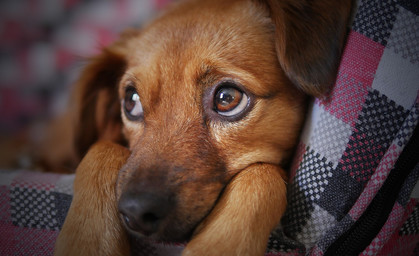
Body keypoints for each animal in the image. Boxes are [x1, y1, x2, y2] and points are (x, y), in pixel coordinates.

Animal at [54, 0, 352, 255]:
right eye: (131, 101)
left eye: (227, 98)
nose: (136, 213)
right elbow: (101, 148)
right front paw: (88, 242)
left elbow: (262, 173)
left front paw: (218, 245)